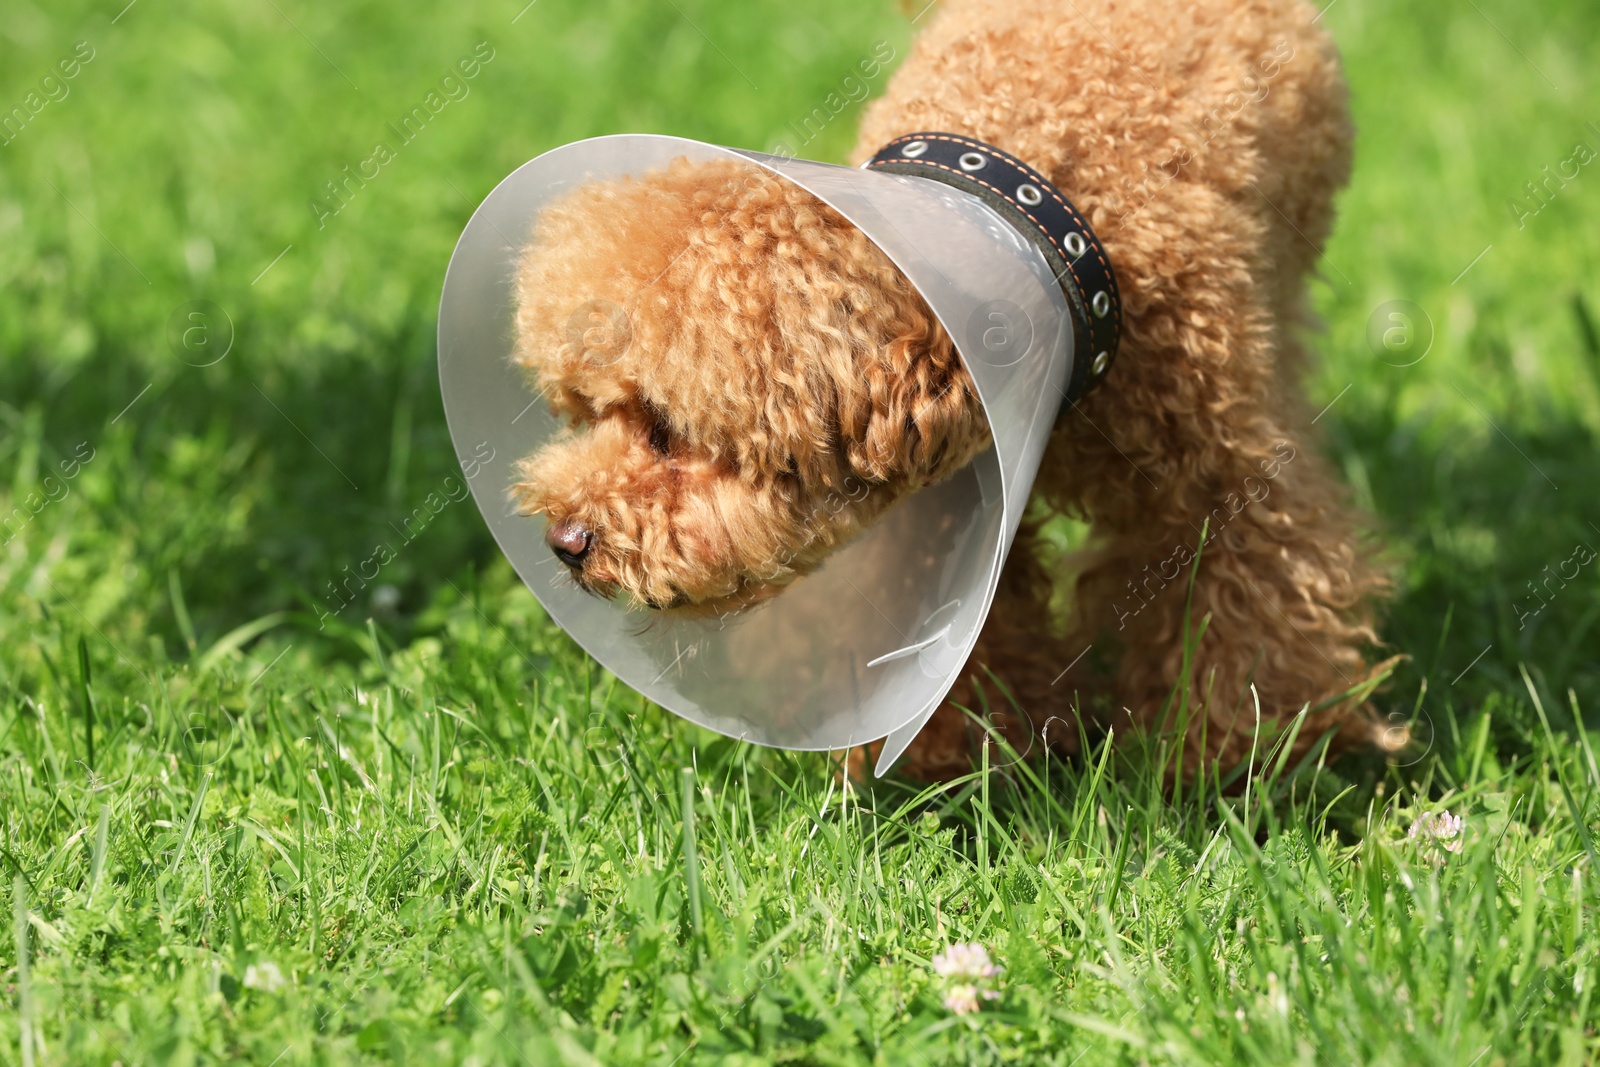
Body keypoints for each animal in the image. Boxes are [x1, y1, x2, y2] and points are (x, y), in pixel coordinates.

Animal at [508, 0, 1388, 780]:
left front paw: (1229, 759)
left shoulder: (1218, 473)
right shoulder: (952, 501)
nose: (563, 541)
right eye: (587, 414)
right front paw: (974, 757)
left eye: (664, 427)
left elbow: (1247, 604)